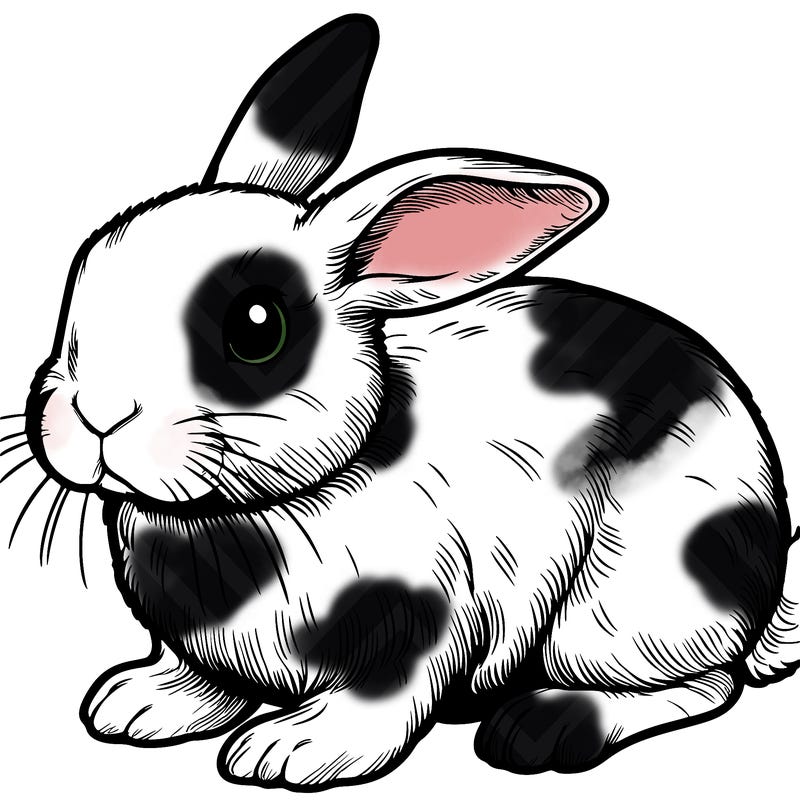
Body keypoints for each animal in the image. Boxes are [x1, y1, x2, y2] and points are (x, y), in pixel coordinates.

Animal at [12, 11, 800, 791]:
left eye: (257, 327)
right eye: (83, 272)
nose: (95, 414)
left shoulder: (421, 621)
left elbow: (379, 699)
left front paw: (291, 751)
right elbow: (204, 679)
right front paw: (140, 704)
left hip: (624, 611)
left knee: (703, 685)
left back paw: (545, 727)